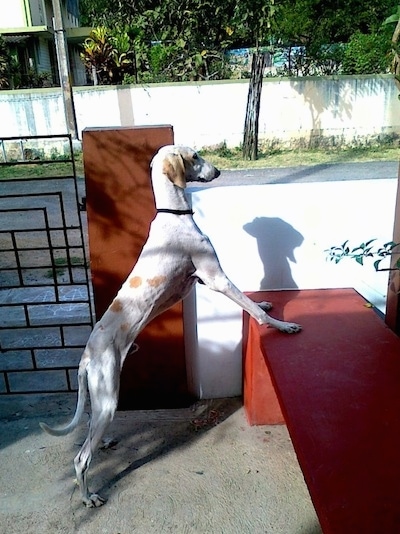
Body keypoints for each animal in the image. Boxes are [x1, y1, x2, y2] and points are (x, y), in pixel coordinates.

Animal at [39, 144, 300, 508]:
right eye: (196, 155)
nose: (218, 172)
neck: (173, 215)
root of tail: (87, 355)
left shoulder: (203, 280)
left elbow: (250, 302)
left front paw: (263, 303)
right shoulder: (215, 278)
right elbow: (250, 307)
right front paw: (280, 325)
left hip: (98, 396)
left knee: (89, 431)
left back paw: (102, 444)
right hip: (108, 397)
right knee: (81, 458)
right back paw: (88, 496)